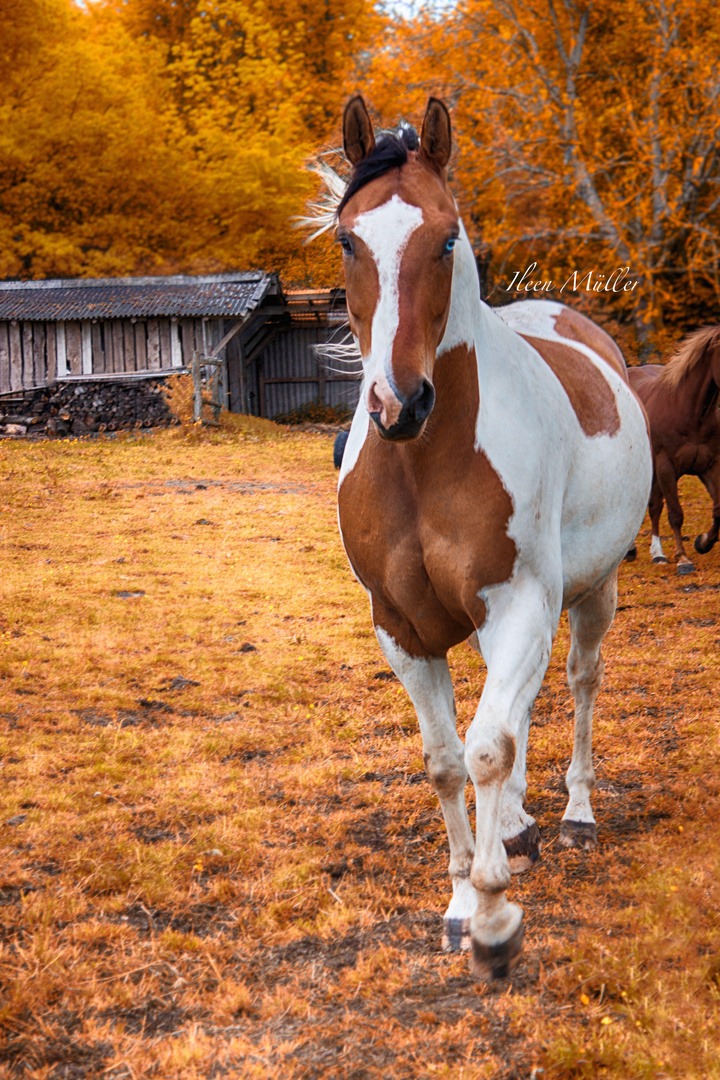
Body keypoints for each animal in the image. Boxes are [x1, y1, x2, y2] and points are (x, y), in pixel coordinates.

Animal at [313, 99, 651, 980]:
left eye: (446, 239)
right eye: (348, 240)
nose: (399, 403)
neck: (424, 462)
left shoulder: (522, 604)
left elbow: (488, 749)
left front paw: (496, 921)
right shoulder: (402, 628)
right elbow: (446, 760)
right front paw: (466, 897)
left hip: (591, 594)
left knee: (577, 685)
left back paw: (573, 815)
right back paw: (518, 827)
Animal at [626, 324, 720, 574]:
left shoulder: (710, 466)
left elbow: (718, 511)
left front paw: (702, 543)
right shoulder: (666, 467)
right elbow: (676, 514)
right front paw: (683, 559)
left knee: (654, 506)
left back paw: (657, 554)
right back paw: (632, 550)